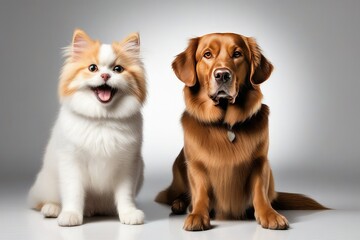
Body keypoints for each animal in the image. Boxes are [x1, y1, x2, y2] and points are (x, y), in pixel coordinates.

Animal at [155, 33, 326, 231]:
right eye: (207, 54)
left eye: (237, 54)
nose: (222, 75)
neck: (225, 125)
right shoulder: (196, 166)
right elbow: (200, 192)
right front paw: (197, 214)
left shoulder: (260, 162)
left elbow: (259, 191)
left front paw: (269, 214)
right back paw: (180, 204)